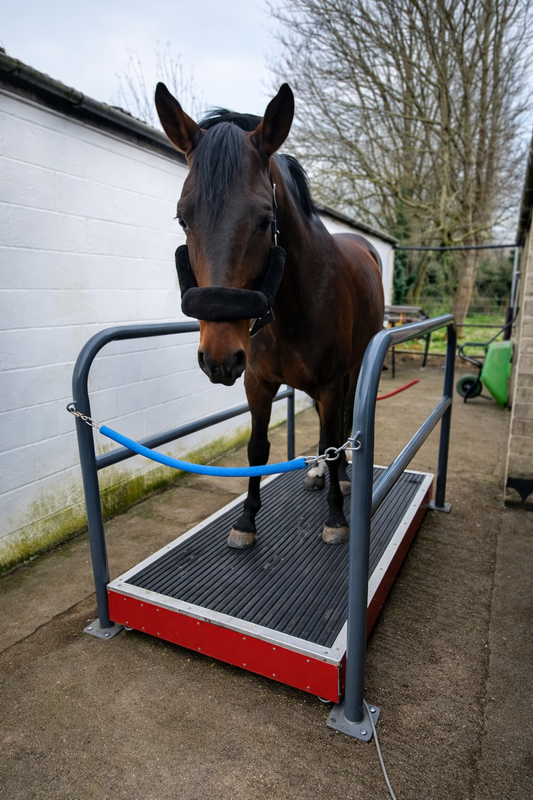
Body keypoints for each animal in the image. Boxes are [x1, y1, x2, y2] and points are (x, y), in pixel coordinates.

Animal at [155, 82, 384, 548]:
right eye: (183, 218)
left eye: (264, 220)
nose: (219, 358)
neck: (292, 305)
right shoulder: (257, 382)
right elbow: (257, 449)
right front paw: (246, 520)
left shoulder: (331, 382)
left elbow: (332, 438)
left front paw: (336, 517)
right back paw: (318, 472)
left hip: (352, 370)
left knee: (341, 424)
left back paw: (340, 477)